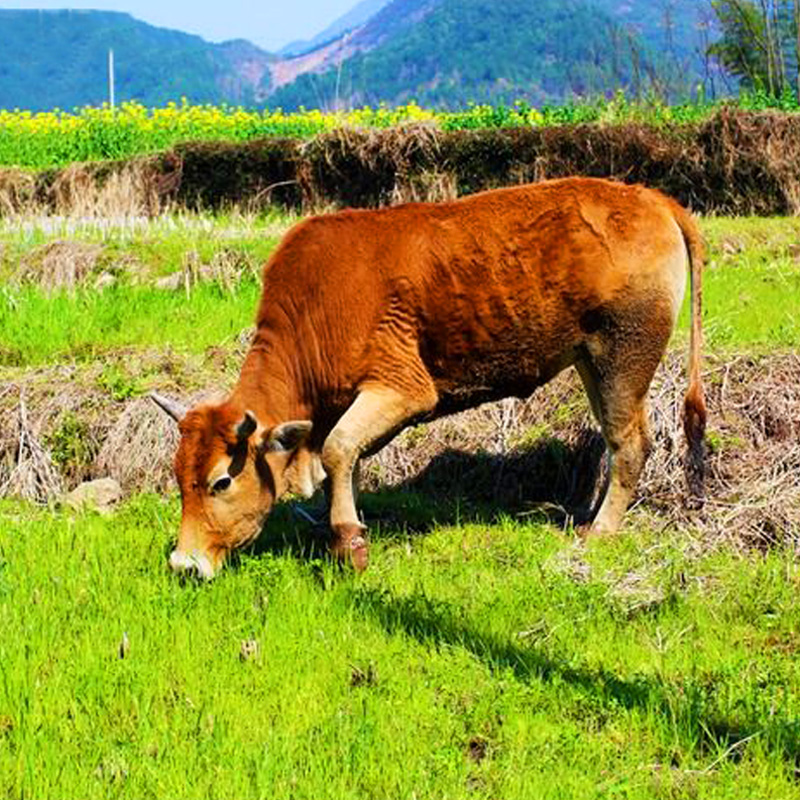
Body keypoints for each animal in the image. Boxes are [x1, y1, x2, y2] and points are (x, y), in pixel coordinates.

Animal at [152, 178, 708, 580]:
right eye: (179, 480)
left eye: (222, 481)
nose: (184, 563)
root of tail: (648, 197)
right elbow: (343, 459)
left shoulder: (403, 389)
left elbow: (338, 449)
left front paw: (349, 542)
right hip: (592, 361)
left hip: (624, 354)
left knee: (630, 444)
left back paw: (600, 532)